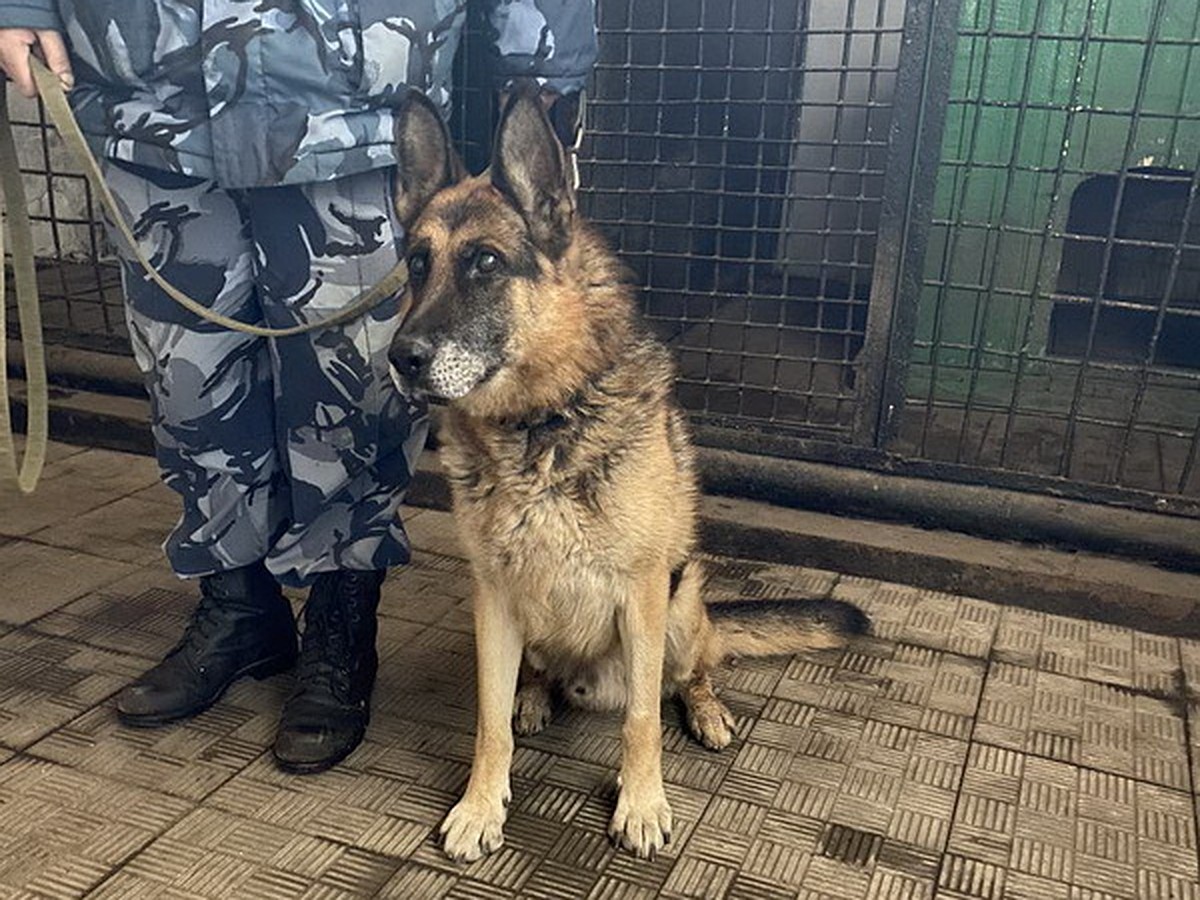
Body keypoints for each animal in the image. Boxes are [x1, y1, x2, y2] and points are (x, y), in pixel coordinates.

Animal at [388, 88, 868, 864]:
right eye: (416, 264)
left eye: (485, 262)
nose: (401, 359)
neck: (542, 421)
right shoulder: (493, 599)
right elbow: (488, 723)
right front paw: (480, 806)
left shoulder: (641, 594)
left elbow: (642, 718)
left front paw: (641, 804)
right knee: (534, 680)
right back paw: (534, 697)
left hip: (681, 601)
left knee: (693, 671)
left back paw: (706, 711)